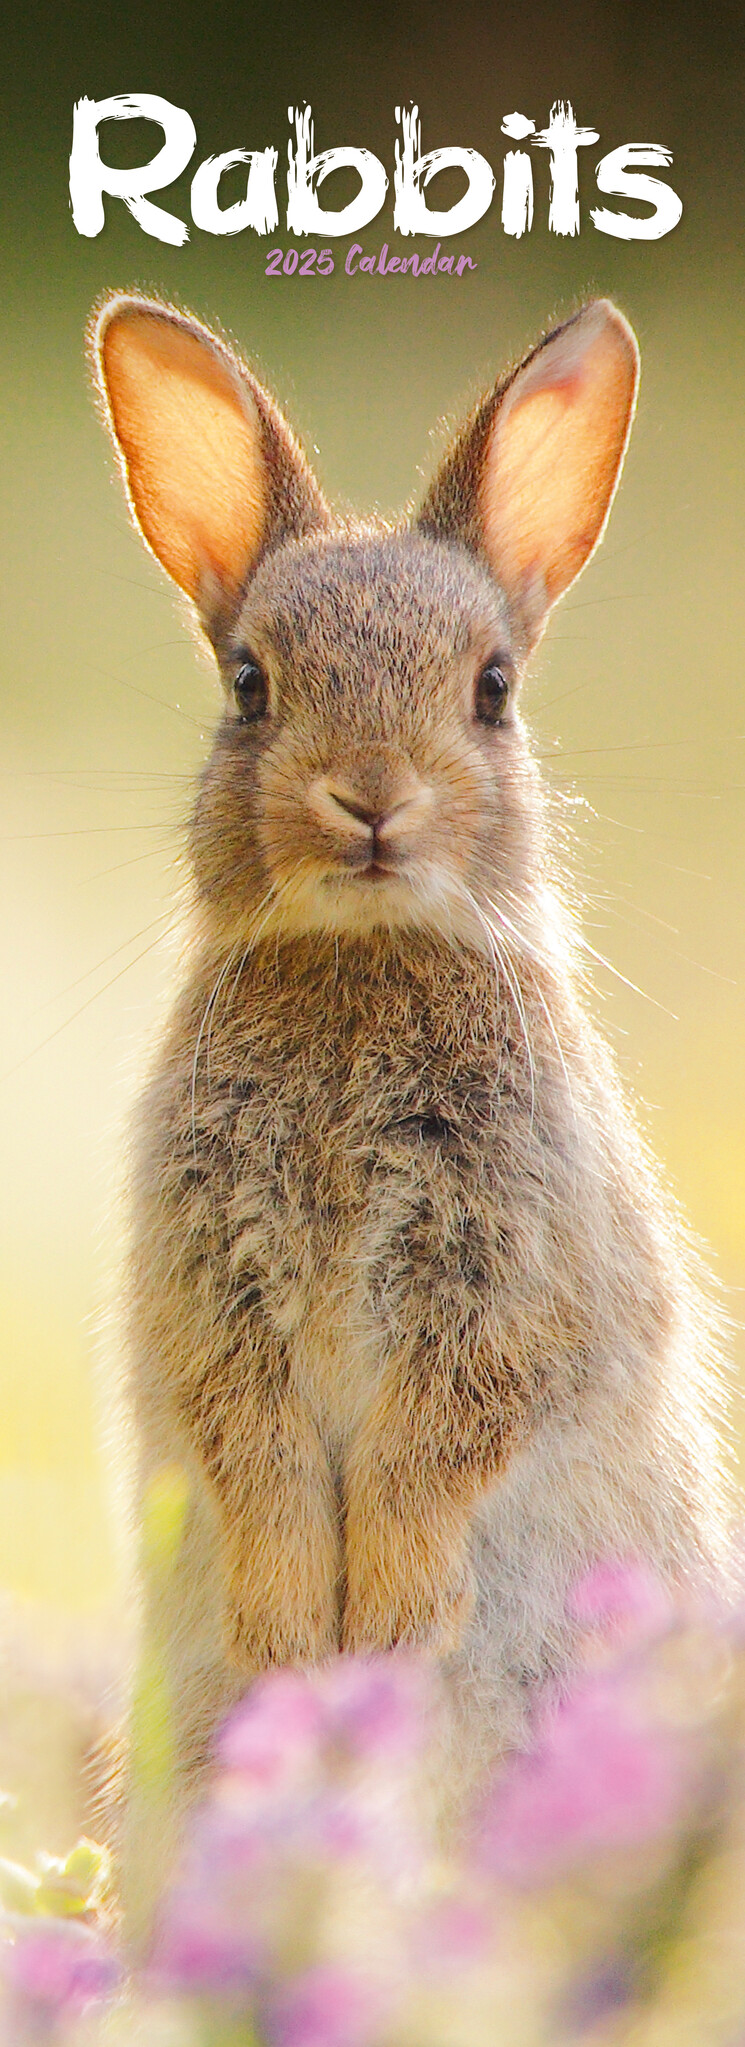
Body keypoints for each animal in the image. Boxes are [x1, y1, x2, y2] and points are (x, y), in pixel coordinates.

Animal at [90, 296, 728, 1924]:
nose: (368, 799)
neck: (362, 951)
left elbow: (442, 1433)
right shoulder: (210, 1289)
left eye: (492, 688)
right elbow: (249, 1434)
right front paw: (290, 1617)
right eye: (250, 685)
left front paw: (380, 1614)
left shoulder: (511, 1273)